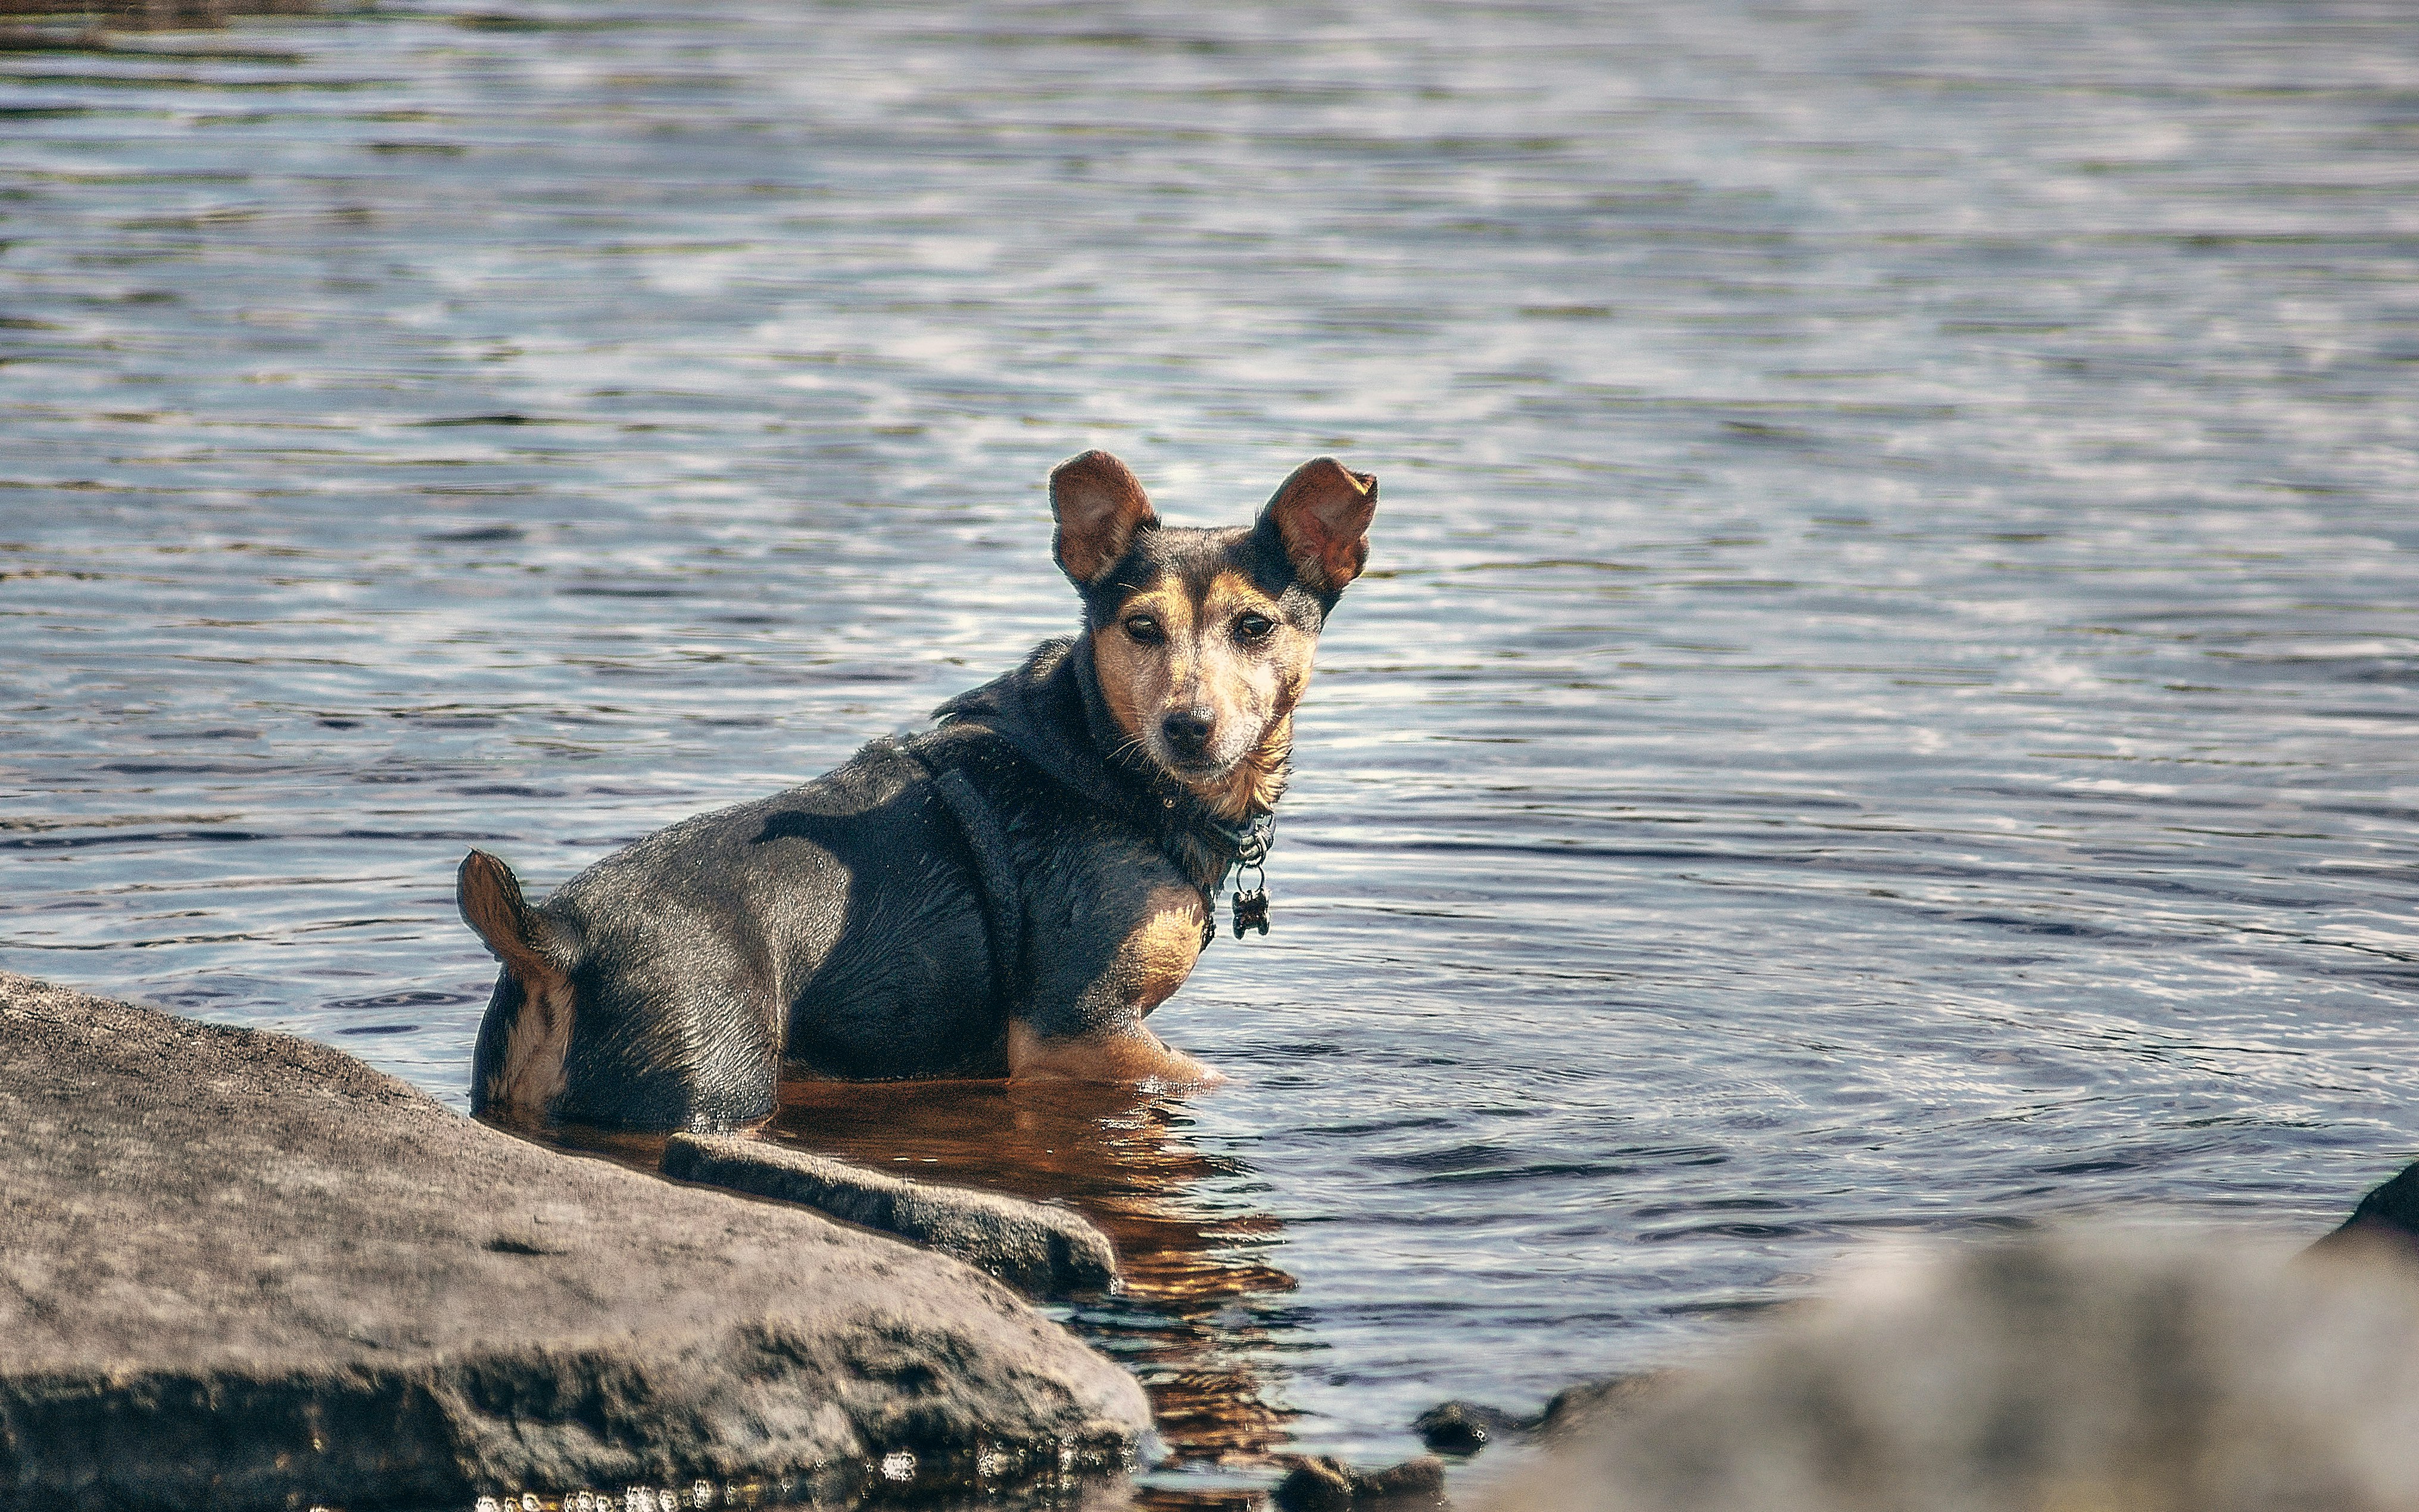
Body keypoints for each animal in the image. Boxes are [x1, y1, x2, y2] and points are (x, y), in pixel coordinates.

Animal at [454, 454, 1374, 1127]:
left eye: (1254, 626)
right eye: (1140, 627)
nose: (1188, 726)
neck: (1105, 761)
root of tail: (554, 937)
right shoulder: (1078, 1032)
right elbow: (1221, 1079)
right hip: (707, 1088)